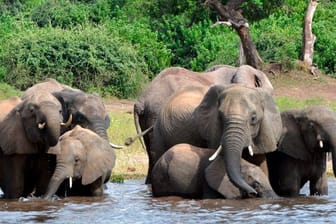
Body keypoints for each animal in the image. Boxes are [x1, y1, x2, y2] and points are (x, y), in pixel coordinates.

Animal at [151, 84, 282, 196]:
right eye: (220, 117)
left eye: (253, 118)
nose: (254, 191)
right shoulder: (211, 132)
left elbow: (260, 162)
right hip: (158, 131)